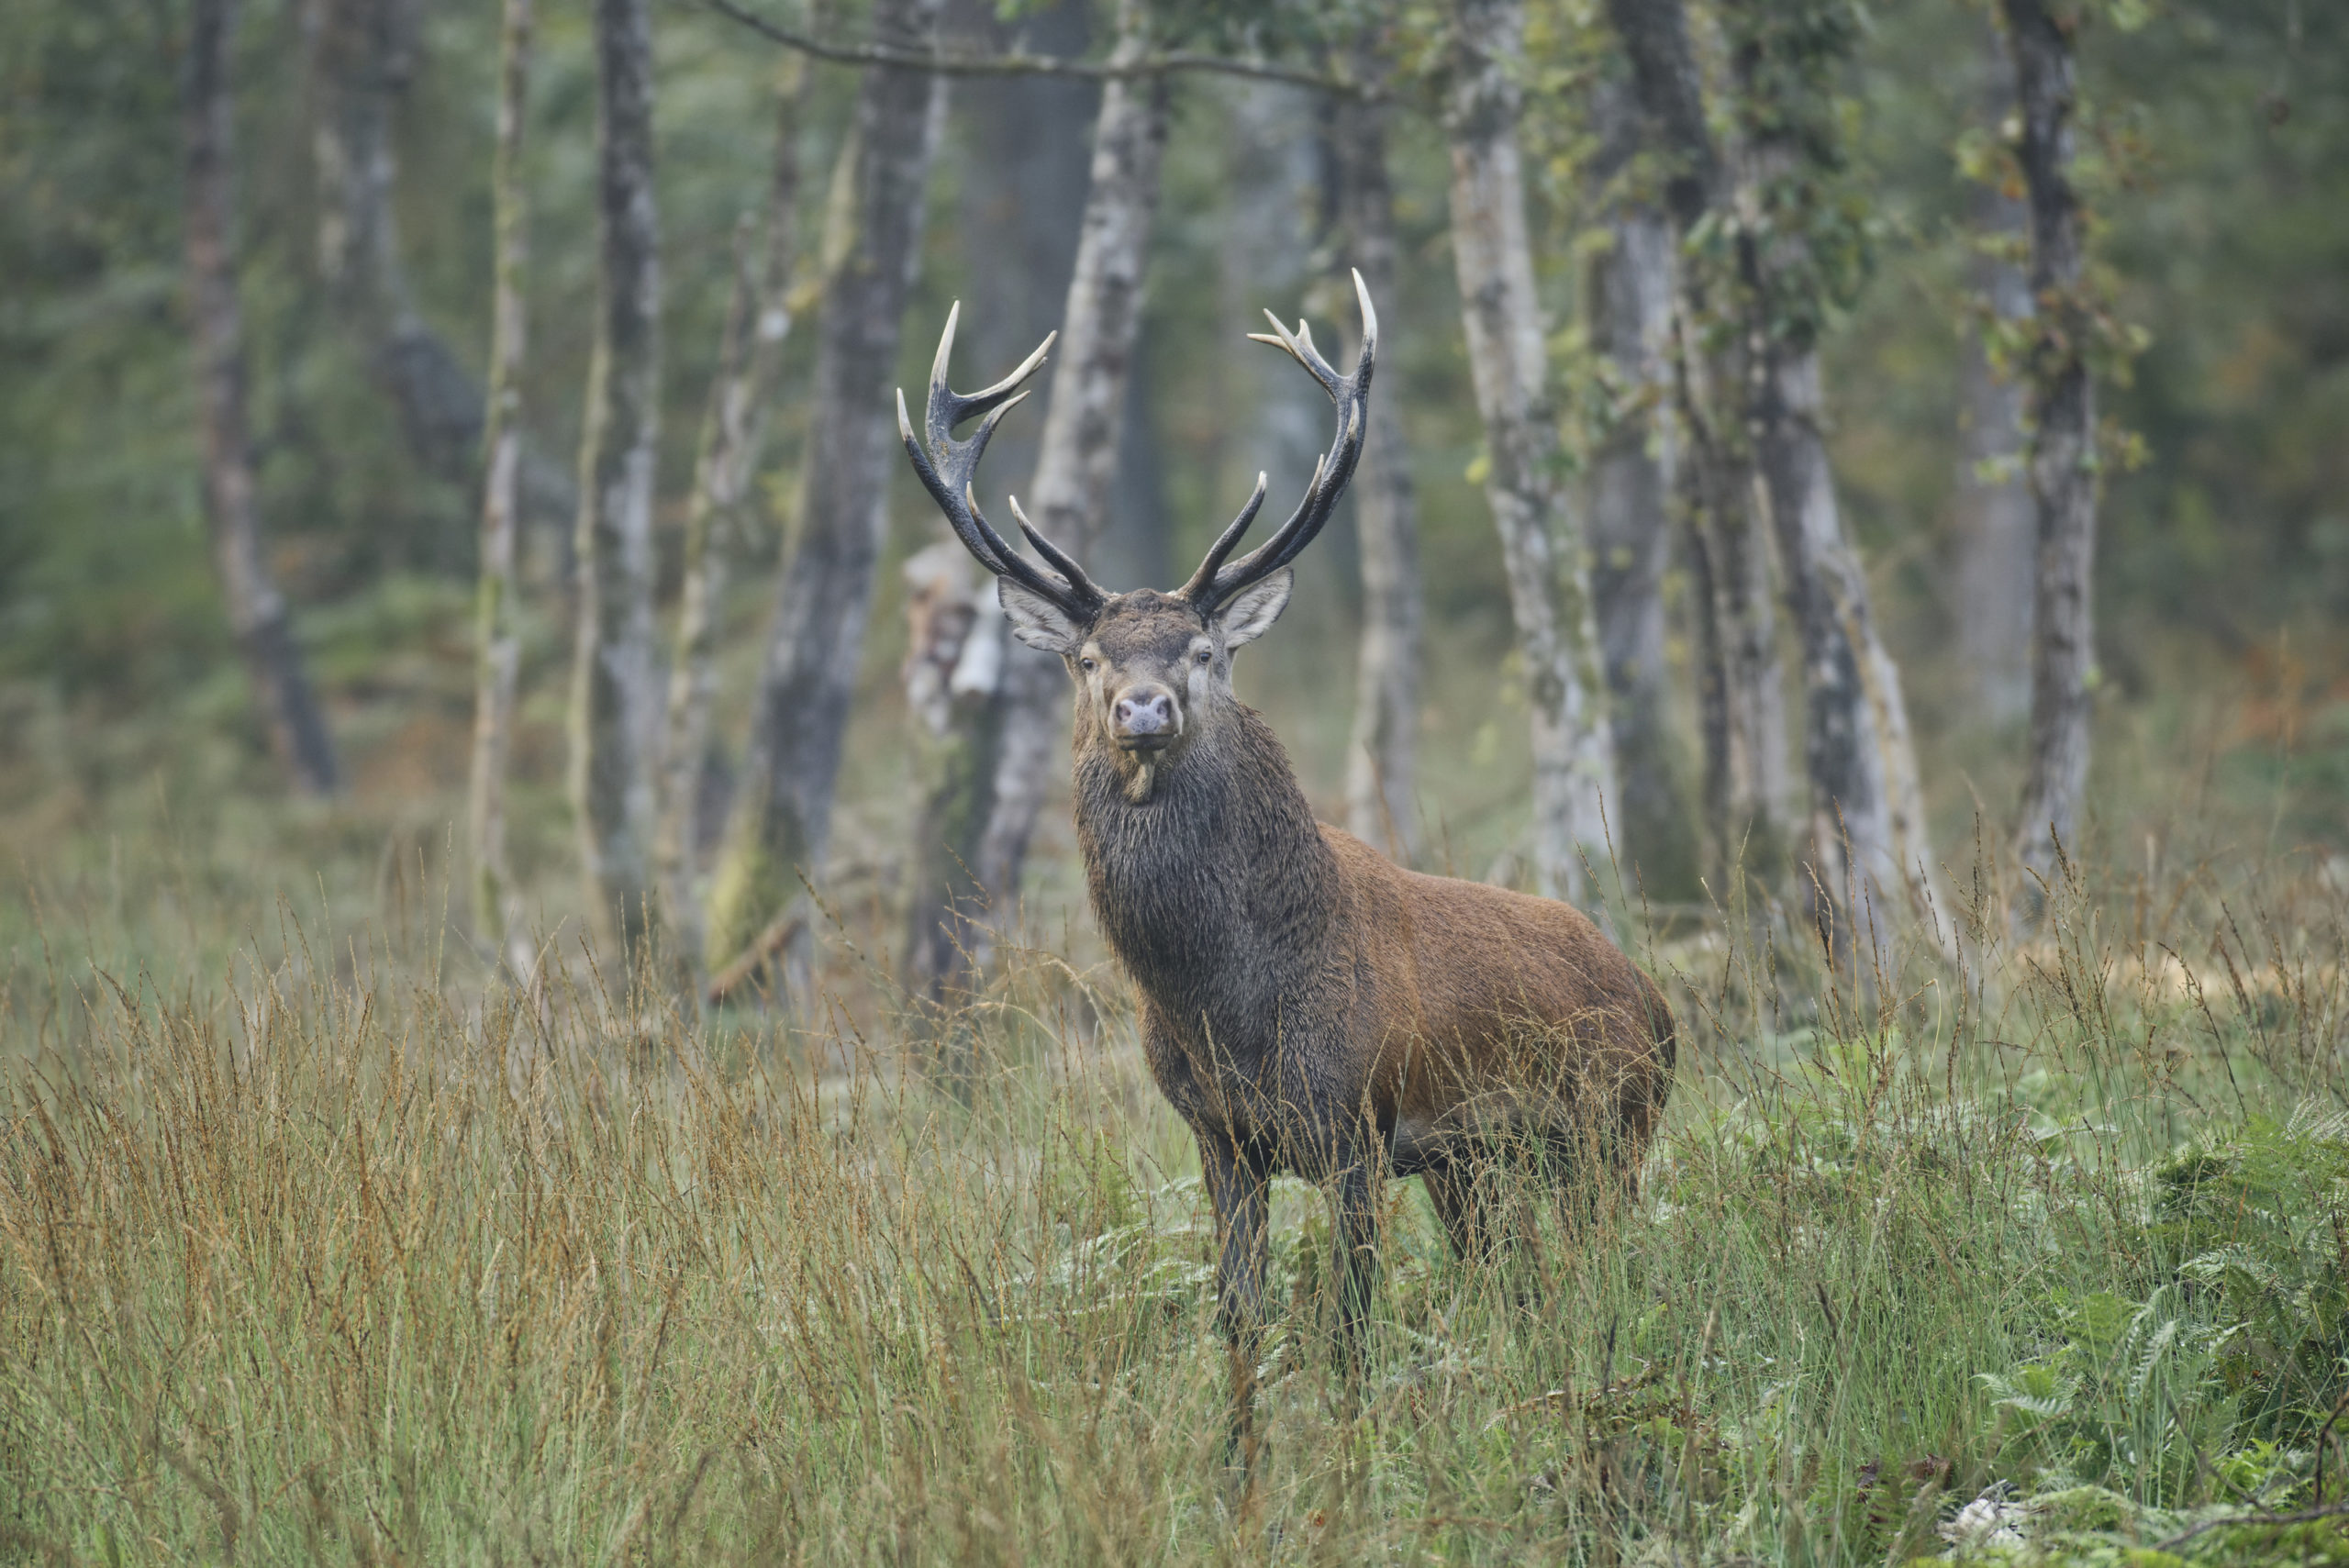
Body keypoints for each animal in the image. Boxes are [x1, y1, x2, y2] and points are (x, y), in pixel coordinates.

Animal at [887, 272, 1681, 1473]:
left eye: (1205, 650)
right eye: (1088, 657)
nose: (1144, 708)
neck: (1222, 1000)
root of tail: (1657, 998)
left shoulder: (1354, 1123)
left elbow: (1348, 1320)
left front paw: (1349, 1472)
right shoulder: (1219, 1136)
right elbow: (1238, 1315)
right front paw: (1238, 1469)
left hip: (1607, 1128)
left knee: (1604, 1265)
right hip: (1477, 1166)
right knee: (1520, 1282)